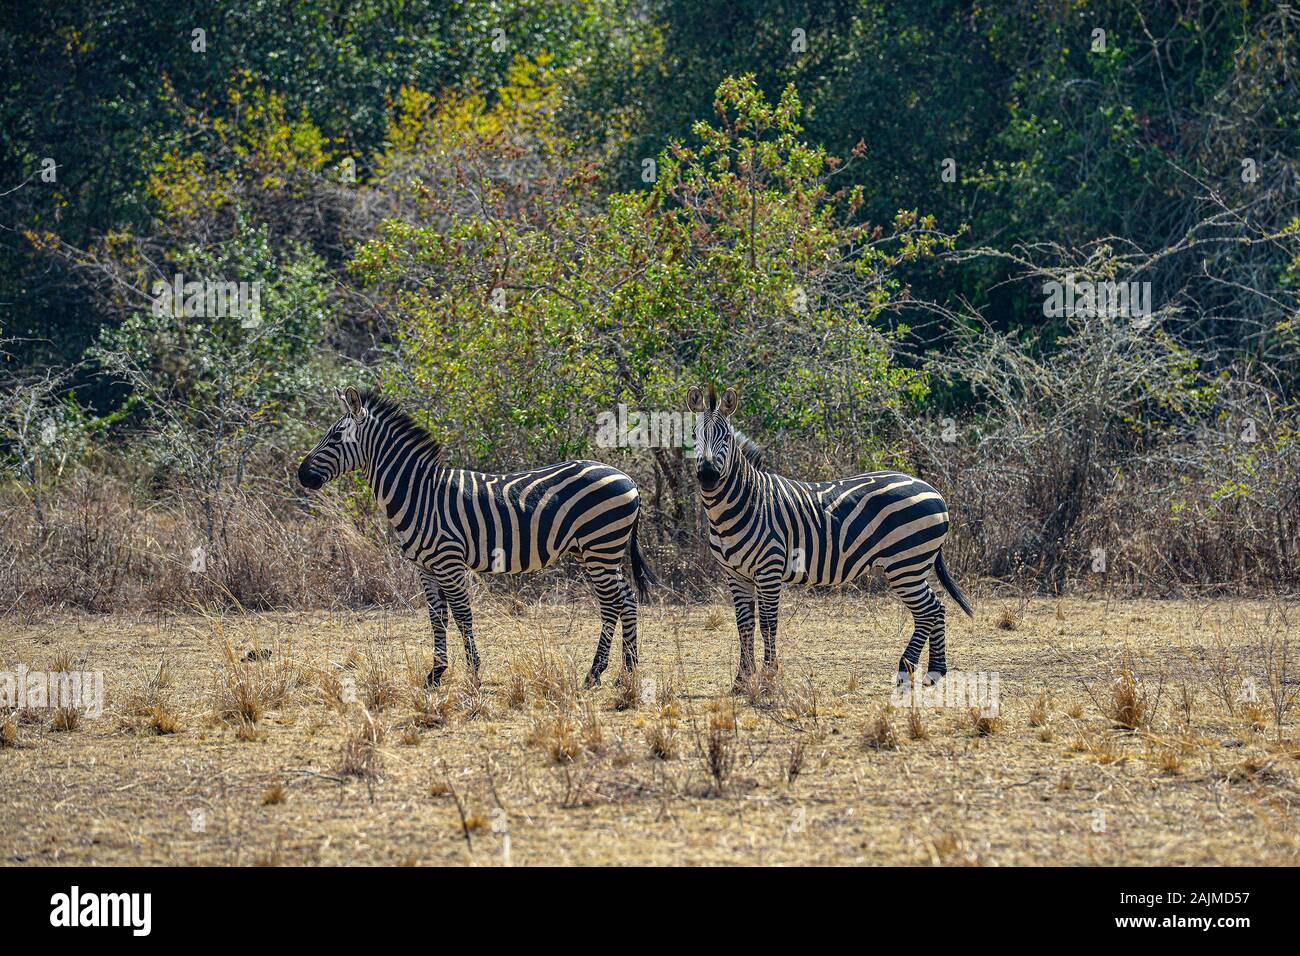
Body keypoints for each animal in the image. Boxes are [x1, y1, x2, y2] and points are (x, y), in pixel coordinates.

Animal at [298, 387, 656, 688]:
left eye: (335, 436)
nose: (301, 475)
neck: (419, 494)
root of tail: (628, 478)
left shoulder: (449, 561)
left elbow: (461, 615)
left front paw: (472, 671)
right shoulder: (425, 567)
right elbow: (437, 618)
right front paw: (436, 673)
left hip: (601, 546)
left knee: (614, 603)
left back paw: (599, 673)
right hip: (594, 550)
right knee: (624, 600)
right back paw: (625, 671)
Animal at [686, 384, 973, 691]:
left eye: (726, 437)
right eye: (693, 436)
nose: (708, 476)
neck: (744, 502)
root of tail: (933, 490)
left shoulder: (768, 570)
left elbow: (768, 623)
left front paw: (769, 678)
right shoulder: (735, 574)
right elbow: (744, 624)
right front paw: (742, 680)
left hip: (906, 564)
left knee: (927, 611)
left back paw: (906, 671)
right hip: (913, 565)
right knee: (937, 608)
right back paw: (934, 672)